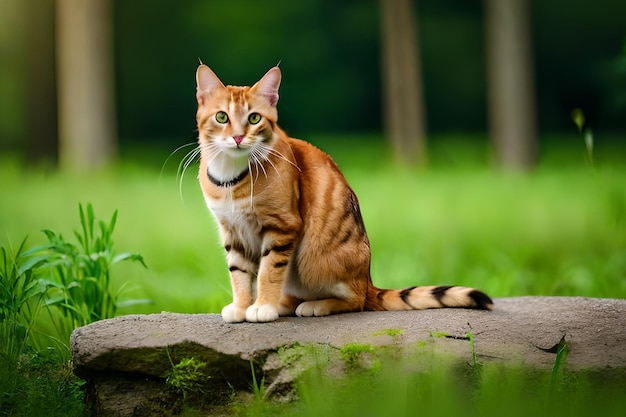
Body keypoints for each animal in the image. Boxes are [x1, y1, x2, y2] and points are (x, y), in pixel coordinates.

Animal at [193, 64, 490, 322]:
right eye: (222, 117)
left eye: (254, 118)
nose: (238, 138)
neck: (231, 178)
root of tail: (368, 281)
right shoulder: (231, 231)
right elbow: (238, 272)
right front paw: (242, 306)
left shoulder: (282, 227)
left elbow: (269, 271)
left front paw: (263, 306)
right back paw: (285, 303)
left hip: (314, 261)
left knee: (356, 301)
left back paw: (314, 305)